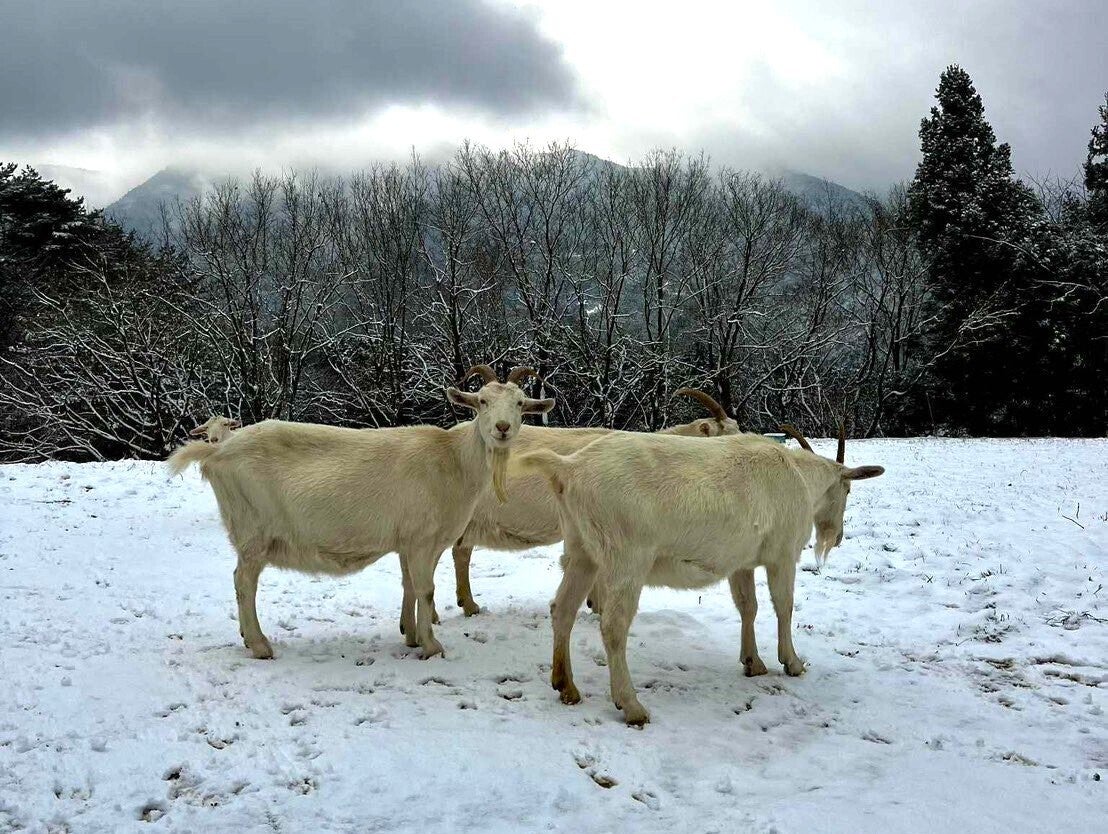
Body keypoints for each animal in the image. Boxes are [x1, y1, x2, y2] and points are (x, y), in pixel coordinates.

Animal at [167, 365, 554, 660]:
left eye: (520, 403)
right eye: (482, 401)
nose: (502, 428)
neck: (454, 461)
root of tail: (216, 453)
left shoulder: (407, 540)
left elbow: (409, 585)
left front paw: (410, 635)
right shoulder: (423, 540)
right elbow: (426, 589)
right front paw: (431, 646)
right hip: (253, 532)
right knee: (244, 582)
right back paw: (260, 645)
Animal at [517, 423, 883, 725]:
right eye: (847, 490)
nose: (838, 537)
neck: (799, 478)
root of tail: (570, 468)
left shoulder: (741, 563)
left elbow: (748, 607)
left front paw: (752, 662)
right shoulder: (782, 555)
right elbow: (784, 605)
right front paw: (792, 662)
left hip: (582, 551)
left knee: (562, 609)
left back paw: (566, 686)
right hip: (627, 558)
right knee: (613, 627)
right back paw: (631, 706)